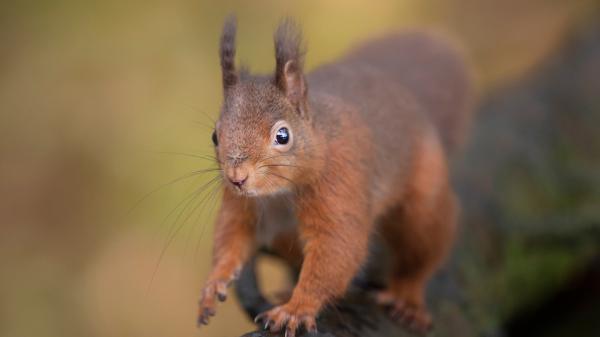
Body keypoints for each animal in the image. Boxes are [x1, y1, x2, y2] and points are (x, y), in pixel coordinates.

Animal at [197, 17, 474, 334]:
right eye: (215, 136)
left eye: (283, 136)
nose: (237, 177)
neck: (280, 194)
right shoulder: (242, 205)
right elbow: (231, 238)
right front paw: (214, 283)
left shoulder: (339, 182)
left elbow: (336, 248)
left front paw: (295, 309)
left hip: (423, 202)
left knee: (422, 249)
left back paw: (407, 297)